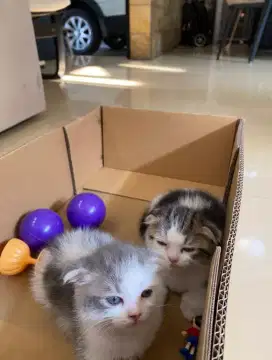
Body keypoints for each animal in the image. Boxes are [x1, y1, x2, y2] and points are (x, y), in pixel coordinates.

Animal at [139, 190, 226, 320]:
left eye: (188, 249)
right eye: (162, 243)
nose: (172, 259)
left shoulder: (206, 269)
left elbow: (199, 287)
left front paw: (191, 306)